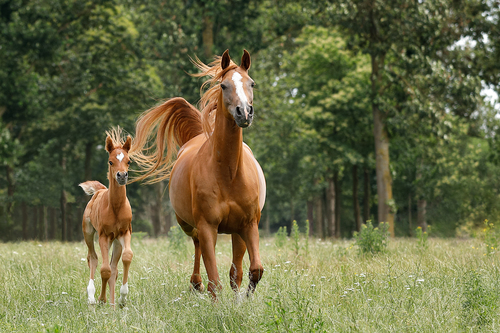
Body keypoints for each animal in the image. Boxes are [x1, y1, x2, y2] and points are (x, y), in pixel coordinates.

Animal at [132, 50, 266, 298]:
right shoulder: (207, 226)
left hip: (236, 232)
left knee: (234, 268)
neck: (229, 174)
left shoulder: (249, 225)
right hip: (189, 224)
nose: (244, 112)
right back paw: (196, 283)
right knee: (198, 245)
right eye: (223, 85)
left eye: (251, 83)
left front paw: (244, 299)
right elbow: (215, 280)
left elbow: (253, 271)